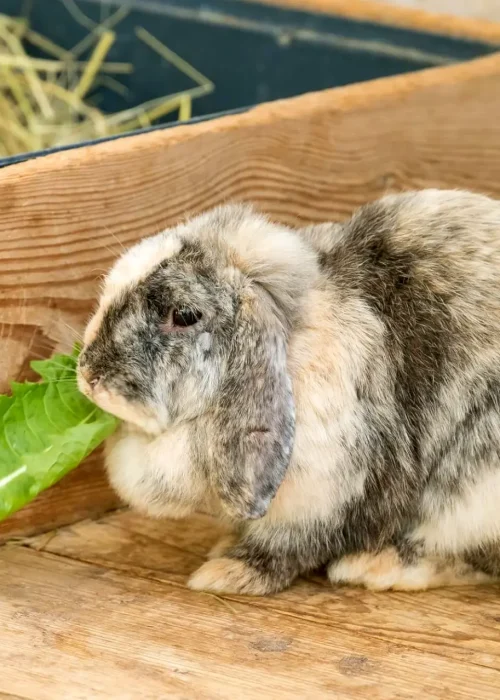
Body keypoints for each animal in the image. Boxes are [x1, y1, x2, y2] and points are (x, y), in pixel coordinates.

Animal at [78, 189, 500, 595]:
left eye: (183, 315)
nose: (88, 373)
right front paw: (225, 547)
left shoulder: (318, 497)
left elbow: (285, 547)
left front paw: (229, 572)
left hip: (473, 493)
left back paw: (375, 566)